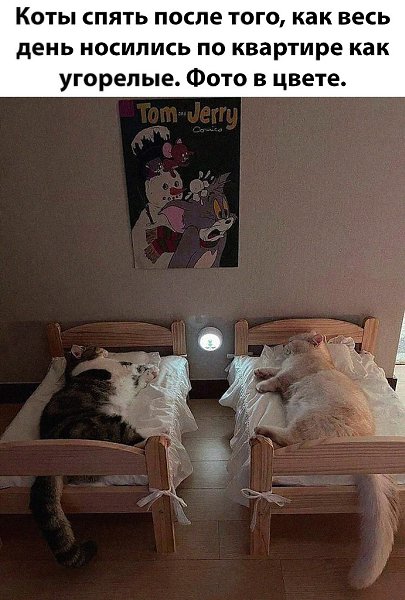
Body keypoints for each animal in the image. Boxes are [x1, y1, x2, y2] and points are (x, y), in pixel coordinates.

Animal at [29, 345, 159, 568]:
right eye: (94, 347)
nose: (106, 349)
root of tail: (48, 457)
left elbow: (138, 380)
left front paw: (149, 372)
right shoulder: (118, 373)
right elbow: (134, 373)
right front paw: (146, 369)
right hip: (105, 423)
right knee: (133, 441)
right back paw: (163, 437)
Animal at [254, 332, 399, 589]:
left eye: (295, 338)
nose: (285, 342)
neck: (319, 359)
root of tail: (364, 445)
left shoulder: (288, 376)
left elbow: (276, 379)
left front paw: (262, 383)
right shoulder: (283, 369)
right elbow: (273, 368)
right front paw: (260, 370)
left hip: (305, 422)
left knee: (288, 439)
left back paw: (262, 431)